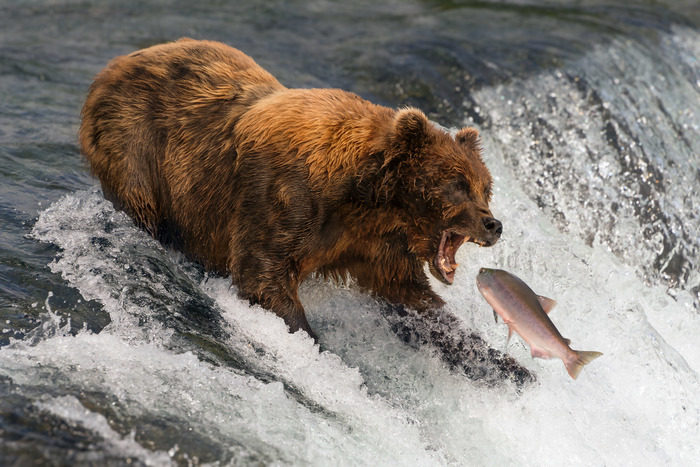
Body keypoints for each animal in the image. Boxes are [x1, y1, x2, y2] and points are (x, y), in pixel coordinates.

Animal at [79, 38, 532, 385]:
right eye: (457, 185)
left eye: (485, 186)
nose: (493, 224)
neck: (367, 198)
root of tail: (115, 64)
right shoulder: (285, 198)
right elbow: (263, 274)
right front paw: (315, 346)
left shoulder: (374, 244)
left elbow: (413, 300)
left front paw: (508, 366)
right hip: (138, 145)